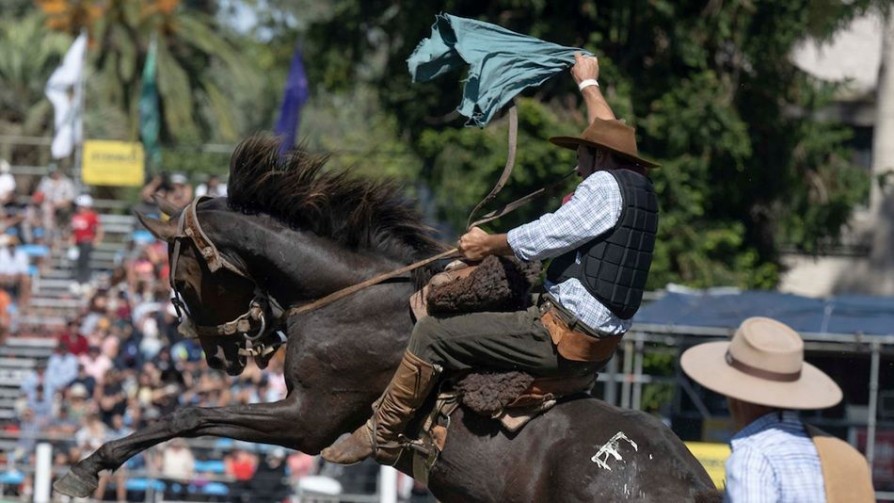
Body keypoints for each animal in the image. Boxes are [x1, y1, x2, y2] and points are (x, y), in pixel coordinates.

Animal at [56, 136, 716, 502]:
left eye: (180, 280)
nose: (221, 355)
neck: (348, 300)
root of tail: (690, 482)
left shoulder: (310, 420)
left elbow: (192, 415)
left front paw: (86, 468)